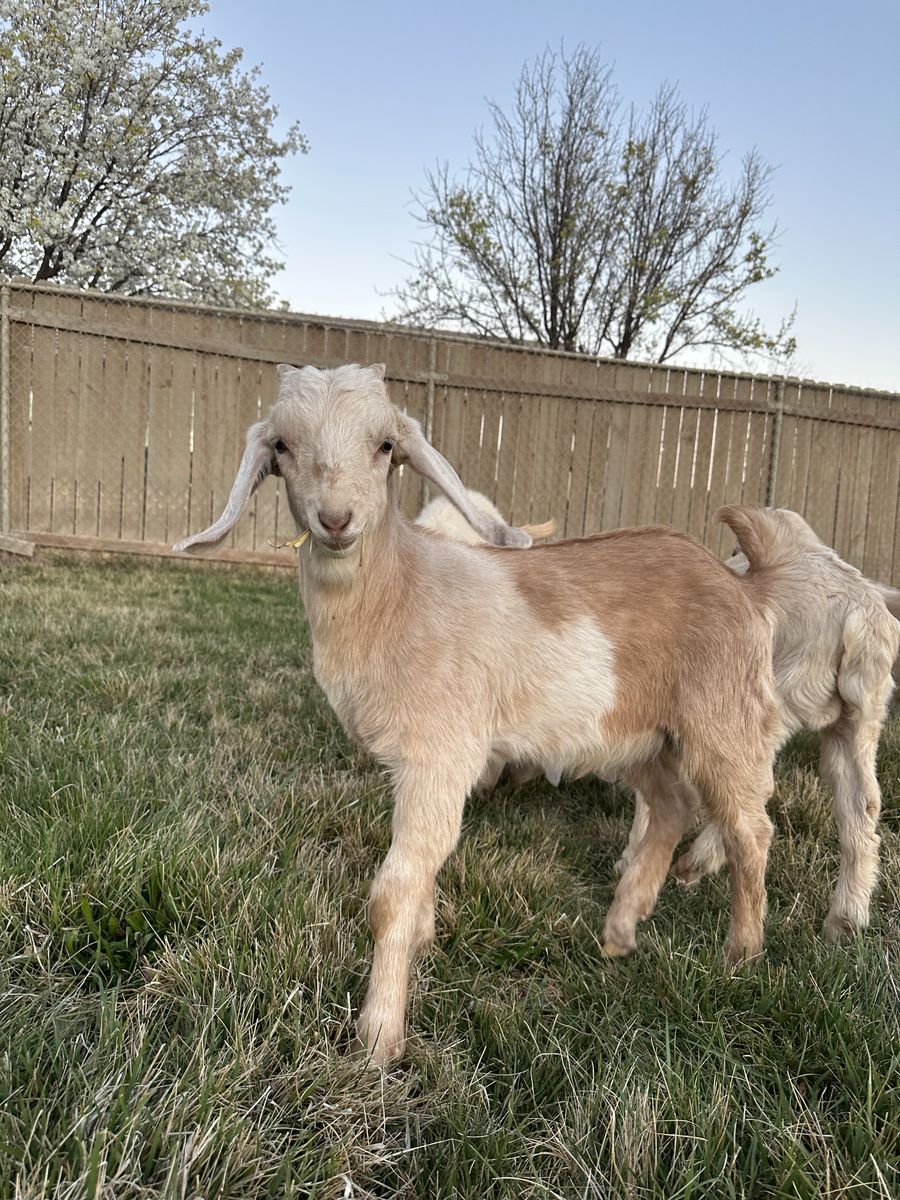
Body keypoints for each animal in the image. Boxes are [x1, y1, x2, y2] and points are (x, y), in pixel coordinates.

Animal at [174, 363, 780, 1066]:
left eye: (386, 446)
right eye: (281, 447)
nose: (335, 519)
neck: (400, 594)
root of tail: (743, 587)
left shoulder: (441, 751)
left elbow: (392, 892)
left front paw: (378, 1038)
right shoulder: (416, 765)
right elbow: (422, 873)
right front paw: (423, 942)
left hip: (721, 717)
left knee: (749, 830)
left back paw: (741, 955)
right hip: (636, 735)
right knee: (674, 807)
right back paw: (619, 932)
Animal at [618, 506, 899, 943]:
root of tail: (859, 614)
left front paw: (633, 859)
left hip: (762, 697)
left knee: (751, 792)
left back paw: (699, 861)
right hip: (858, 717)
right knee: (861, 805)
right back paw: (845, 921)